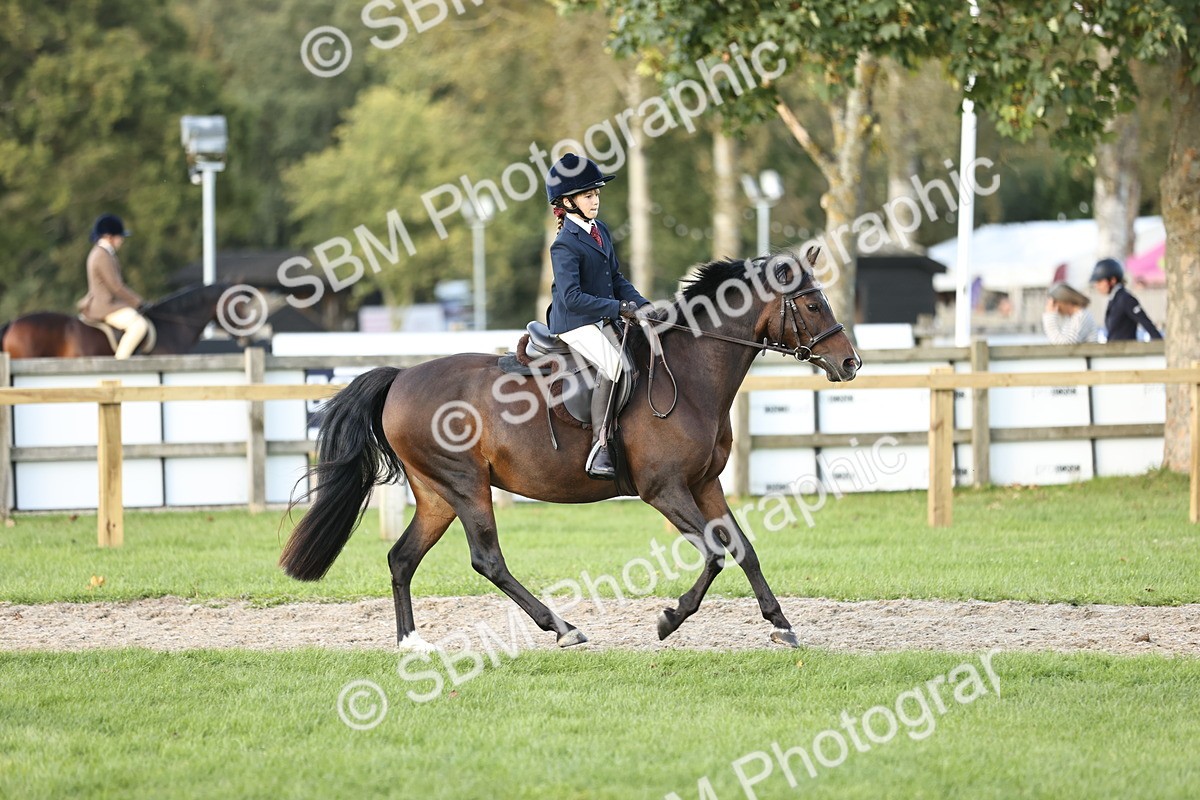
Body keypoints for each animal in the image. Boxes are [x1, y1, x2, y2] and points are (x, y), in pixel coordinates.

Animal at [279, 250, 860, 649]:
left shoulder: (704, 484)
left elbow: (743, 548)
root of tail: (400, 377)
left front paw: (781, 625)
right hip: (466, 487)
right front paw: (669, 620)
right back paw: (562, 629)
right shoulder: (665, 490)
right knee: (488, 560)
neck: (693, 374)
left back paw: (411, 642)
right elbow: (716, 554)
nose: (851, 363)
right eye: (812, 303)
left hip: (438, 494)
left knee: (402, 558)